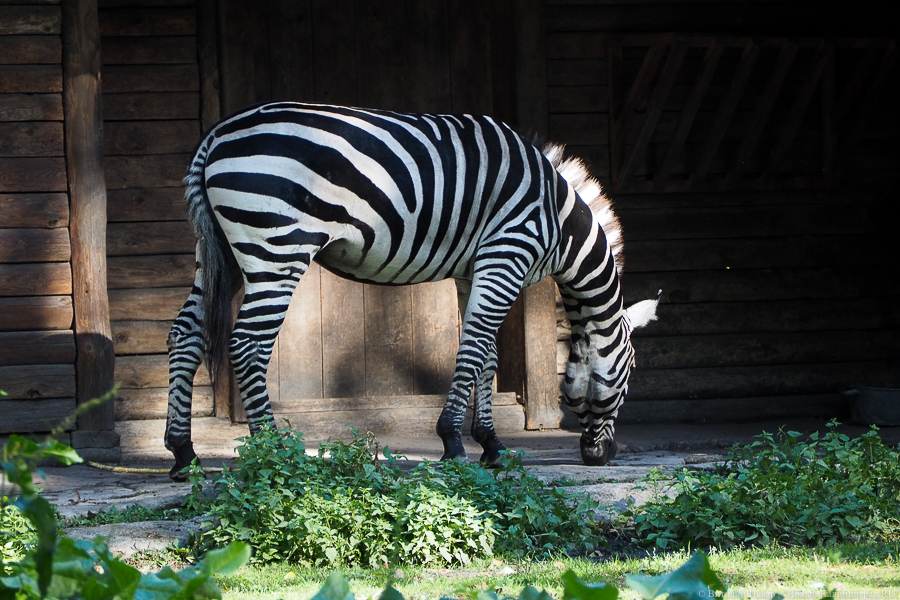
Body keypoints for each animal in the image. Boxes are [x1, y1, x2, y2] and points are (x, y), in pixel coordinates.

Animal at [165, 101, 656, 480]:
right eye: (629, 375)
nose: (601, 457)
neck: (560, 222)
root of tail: (216, 136)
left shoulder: (475, 270)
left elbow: (486, 355)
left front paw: (491, 445)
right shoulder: (506, 254)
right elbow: (473, 350)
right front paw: (454, 443)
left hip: (221, 251)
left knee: (185, 335)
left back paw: (184, 454)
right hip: (277, 248)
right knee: (248, 344)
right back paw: (274, 451)